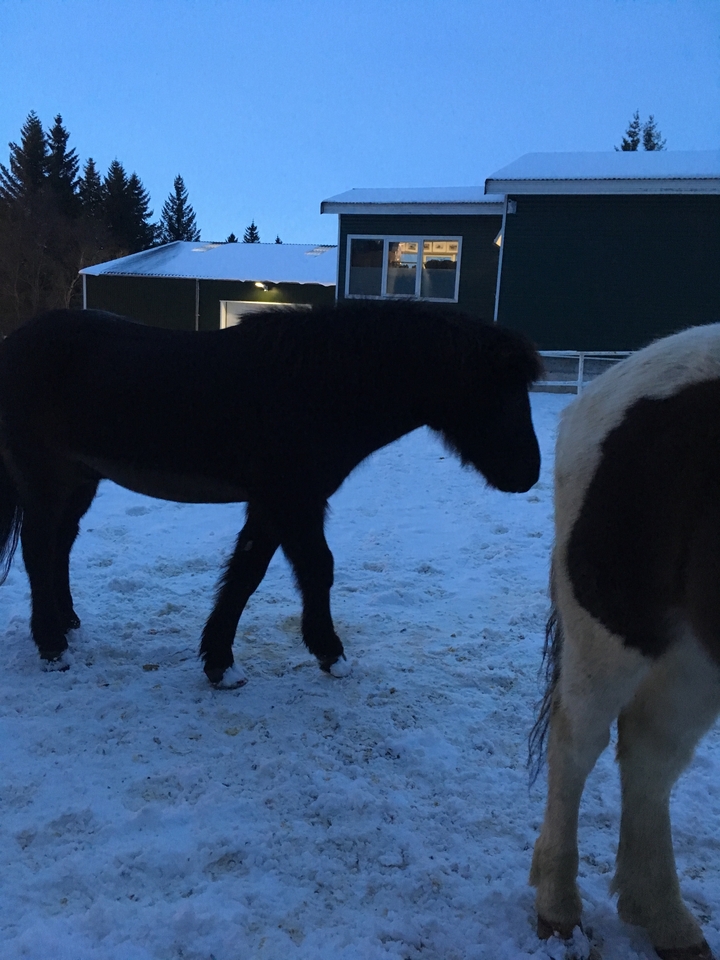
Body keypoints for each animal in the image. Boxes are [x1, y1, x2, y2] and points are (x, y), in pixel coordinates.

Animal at [0, 300, 541, 688]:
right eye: (500, 391)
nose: (529, 473)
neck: (319, 387)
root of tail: (17, 342)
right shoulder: (294, 500)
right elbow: (315, 569)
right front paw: (329, 653)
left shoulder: (273, 504)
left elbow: (246, 572)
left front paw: (220, 661)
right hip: (45, 476)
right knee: (39, 548)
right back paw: (52, 646)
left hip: (81, 478)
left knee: (61, 545)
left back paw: (69, 622)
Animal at [529, 322, 720, 960]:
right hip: (616, 627)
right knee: (578, 742)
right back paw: (559, 906)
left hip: (693, 653)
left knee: (650, 754)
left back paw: (664, 918)